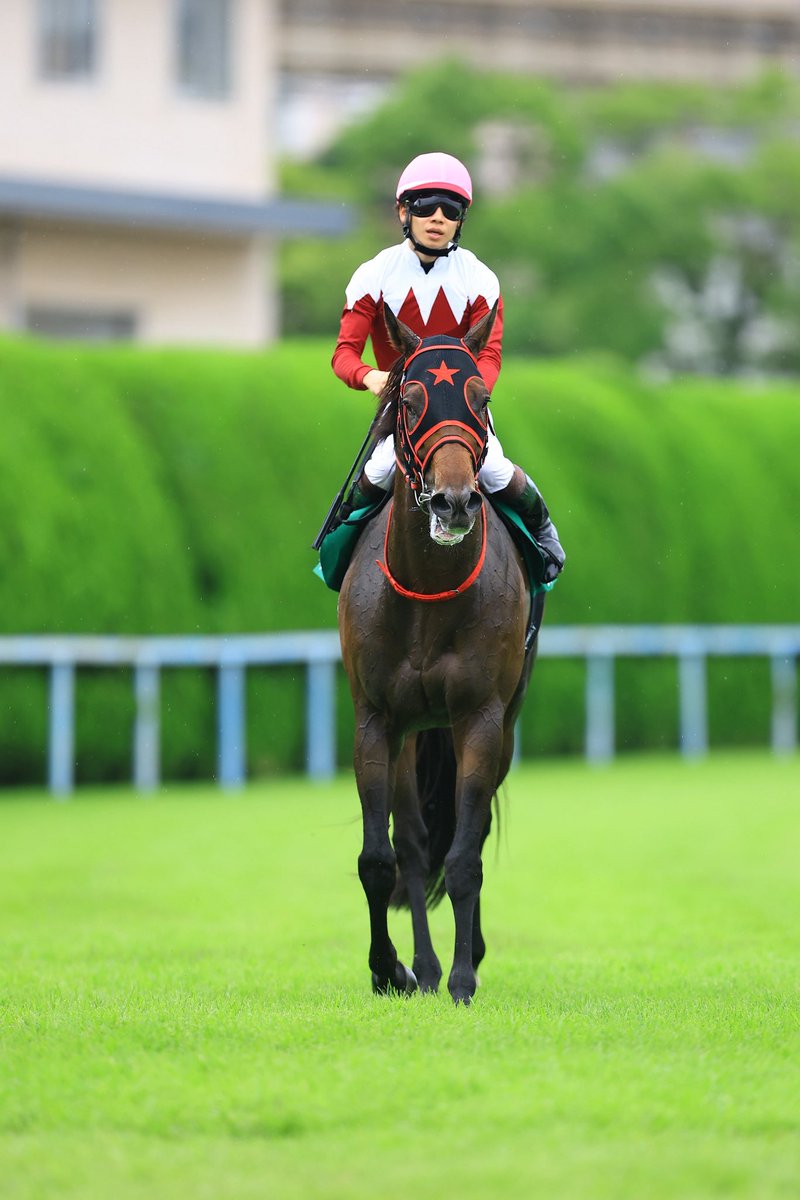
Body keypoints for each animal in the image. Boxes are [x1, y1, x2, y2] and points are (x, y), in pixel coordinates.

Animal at [338, 304, 539, 1005]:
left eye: (480, 396)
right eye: (410, 397)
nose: (453, 501)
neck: (427, 590)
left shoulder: (479, 717)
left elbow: (465, 856)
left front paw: (461, 977)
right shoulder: (376, 720)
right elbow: (383, 858)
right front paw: (389, 968)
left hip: (499, 726)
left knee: (462, 835)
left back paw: (459, 958)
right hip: (411, 736)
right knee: (417, 842)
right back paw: (421, 967)